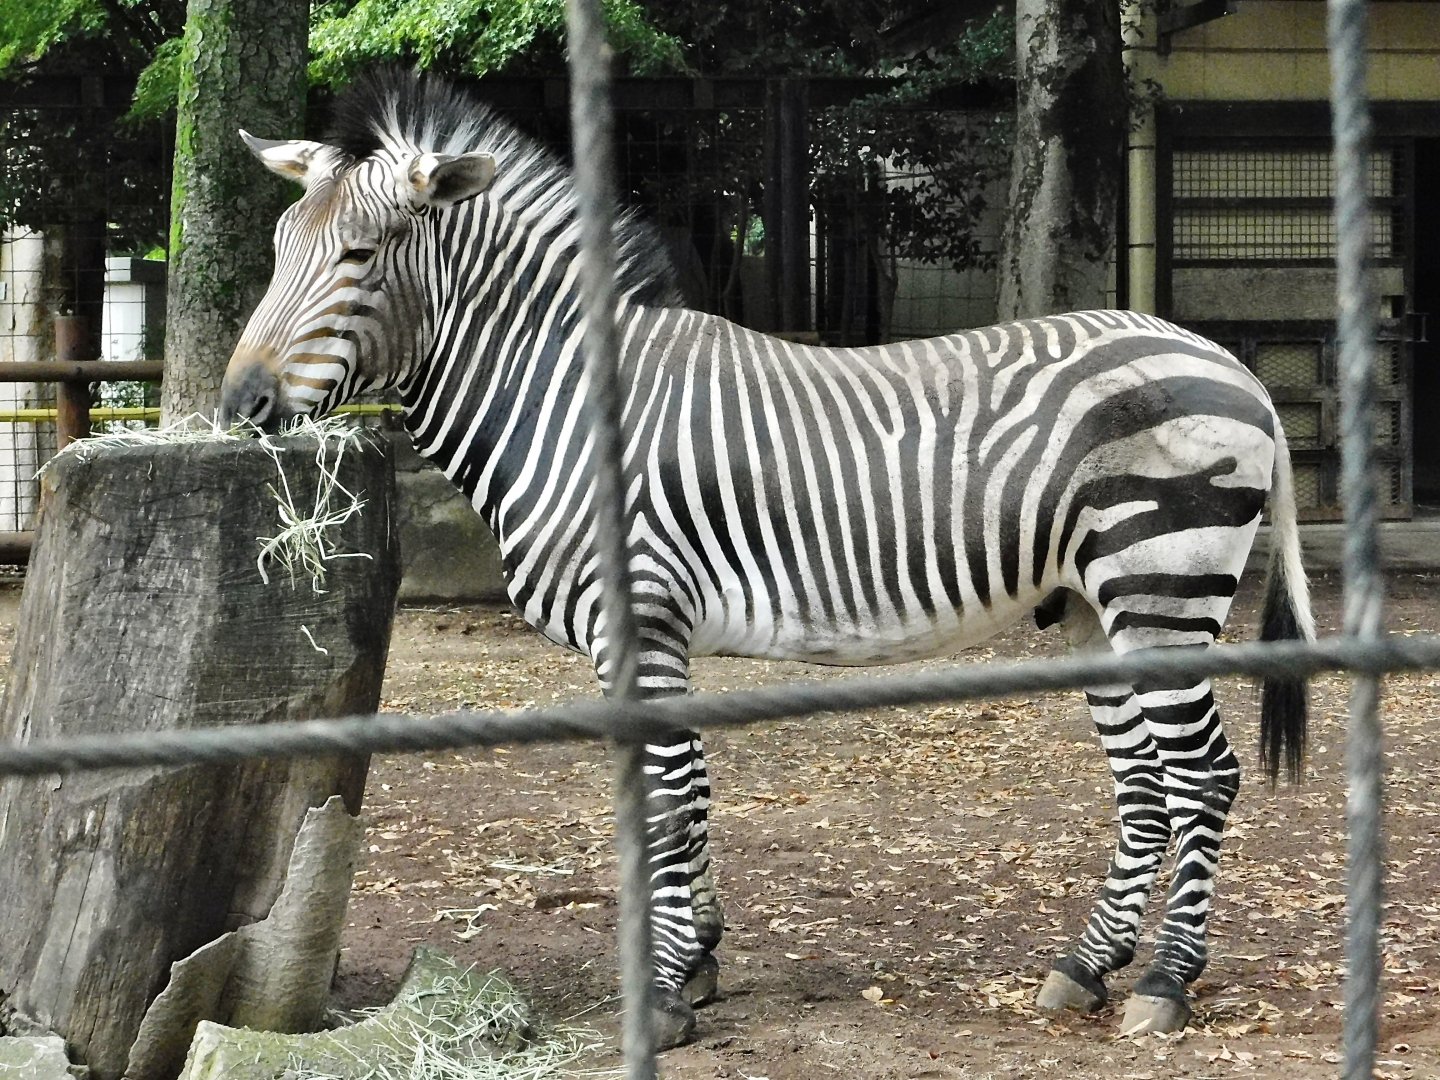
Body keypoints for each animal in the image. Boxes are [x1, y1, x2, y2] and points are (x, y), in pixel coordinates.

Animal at [220, 71, 1312, 1046]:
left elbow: (666, 797)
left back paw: (1166, 984)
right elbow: (684, 792)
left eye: (360, 255)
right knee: (1143, 785)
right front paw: (700, 961)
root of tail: (1228, 364)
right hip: (1097, 606)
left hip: (1161, 581)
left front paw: (665, 995)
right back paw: (1085, 969)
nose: (240, 407)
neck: (568, 399)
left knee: (1204, 777)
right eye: (278, 250)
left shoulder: (640, 613)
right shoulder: (653, 631)